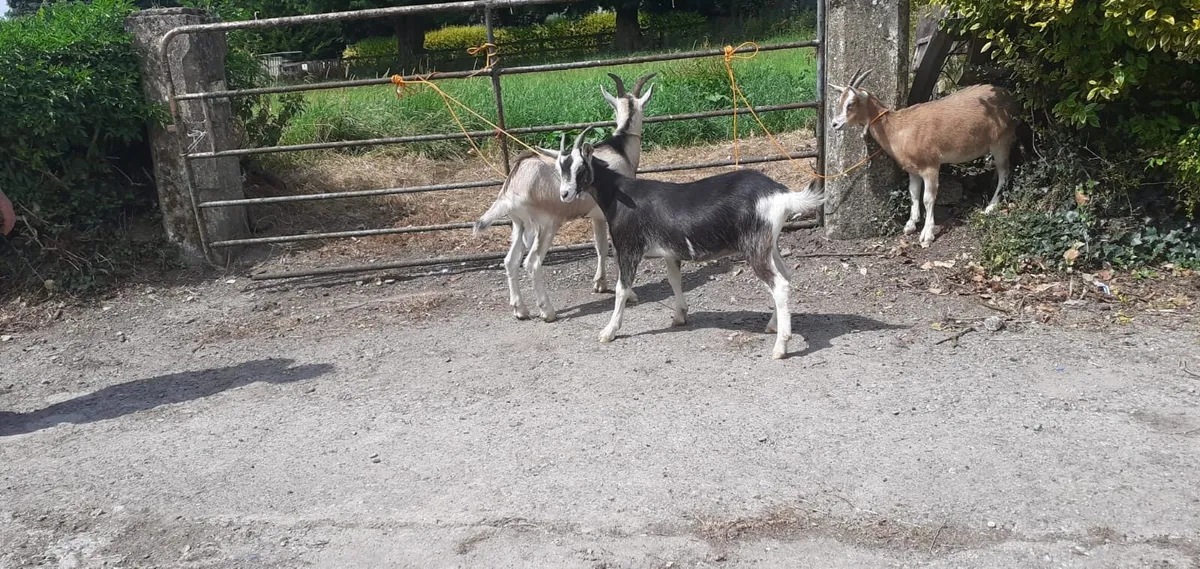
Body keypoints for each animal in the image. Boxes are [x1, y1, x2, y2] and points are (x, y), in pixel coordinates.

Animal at [473, 72, 656, 322]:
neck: (620, 148)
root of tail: (513, 183)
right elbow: (614, 249)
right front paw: (630, 294)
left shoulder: (597, 215)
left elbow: (600, 246)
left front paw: (600, 284)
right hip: (546, 225)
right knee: (532, 262)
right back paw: (547, 311)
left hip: (518, 224)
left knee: (510, 261)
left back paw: (520, 310)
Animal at [555, 127, 824, 359]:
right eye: (560, 168)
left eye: (580, 167)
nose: (564, 194)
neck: (619, 193)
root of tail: (782, 195)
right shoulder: (670, 253)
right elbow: (675, 280)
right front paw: (680, 316)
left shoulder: (629, 247)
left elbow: (622, 289)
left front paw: (608, 331)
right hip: (769, 243)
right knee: (785, 275)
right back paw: (772, 325)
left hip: (755, 245)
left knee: (779, 285)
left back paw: (781, 346)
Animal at [830, 69, 1021, 247]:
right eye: (840, 101)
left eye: (851, 103)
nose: (834, 124)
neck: (899, 128)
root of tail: (1009, 97)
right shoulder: (913, 169)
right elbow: (913, 193)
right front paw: (910, 224)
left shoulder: (930, 166)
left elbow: (927, 198)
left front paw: (927, 235)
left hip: (1001, 142)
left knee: (1005, 172)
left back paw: (991, 206)